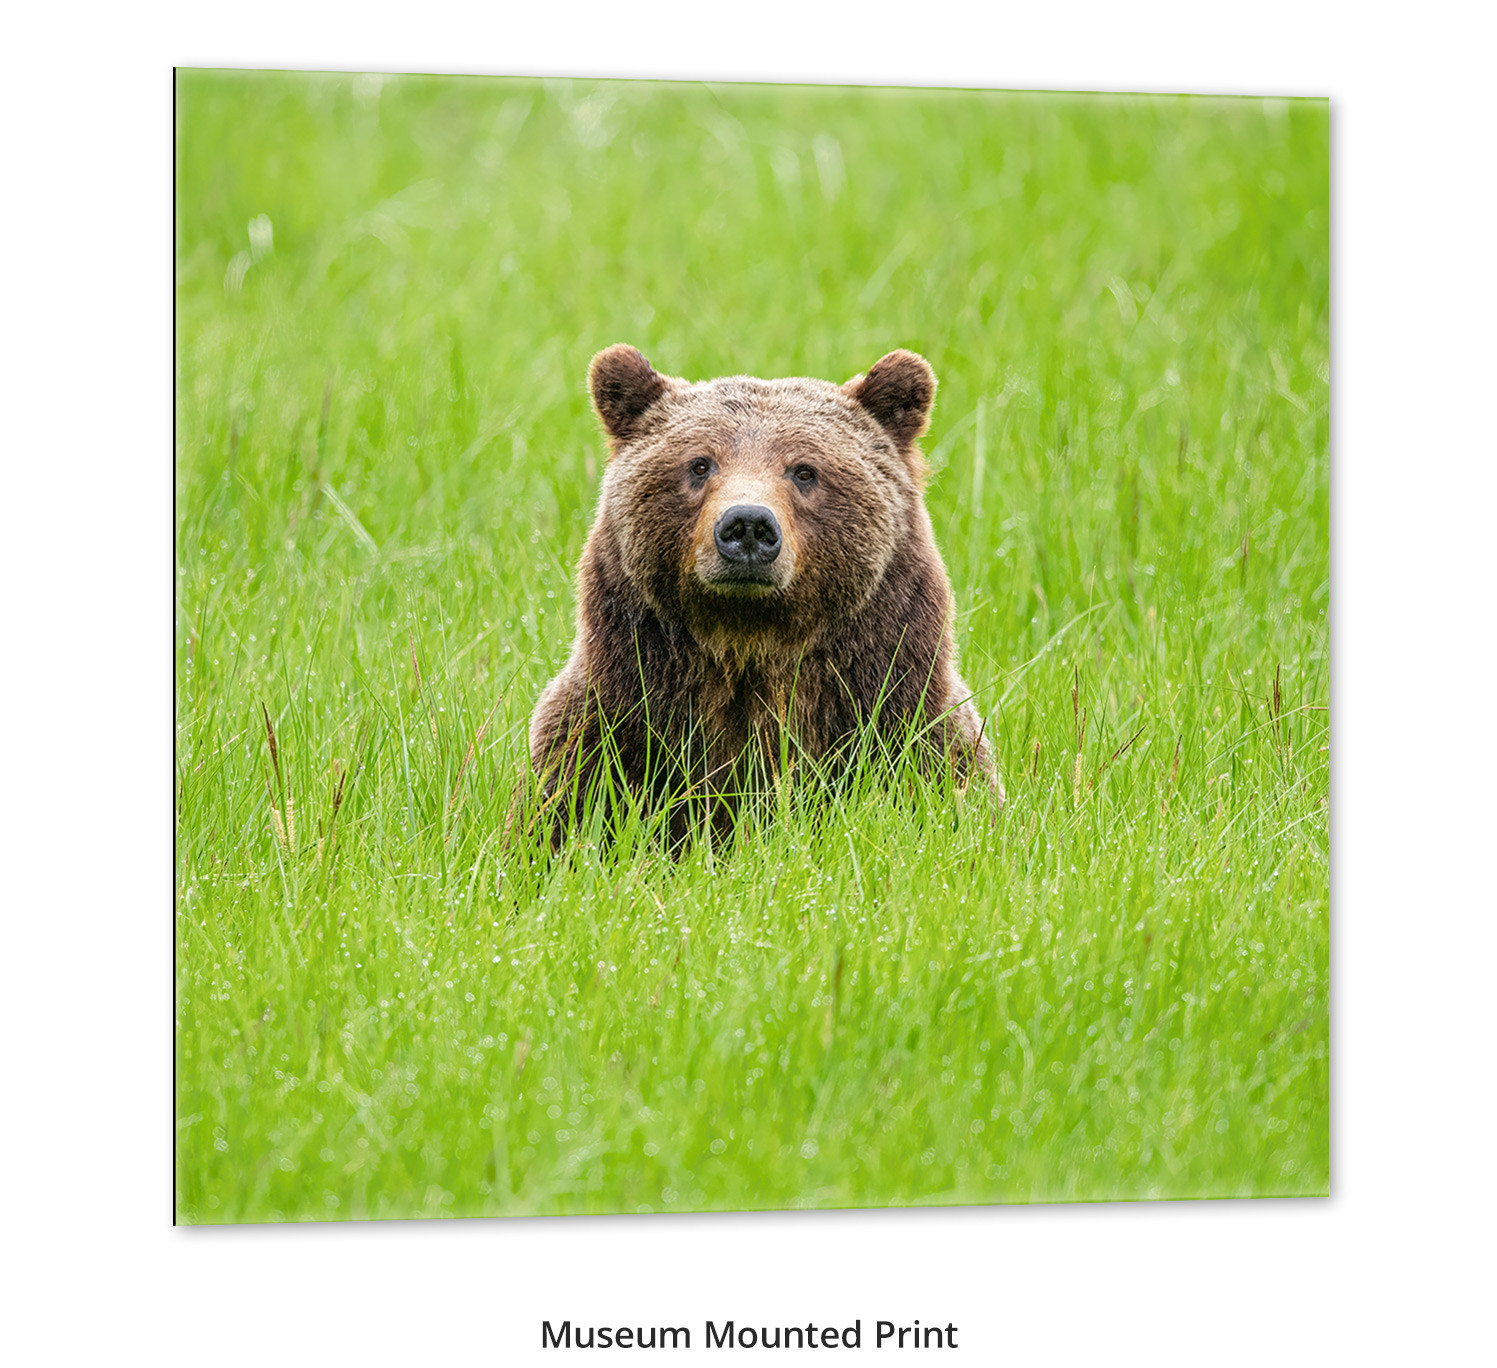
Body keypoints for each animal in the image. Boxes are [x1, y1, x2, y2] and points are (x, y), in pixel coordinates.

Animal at [526, 344, 995, 846]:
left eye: (805, 470)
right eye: (699, 464)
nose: (748, 524)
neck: (751, 642)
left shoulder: (907, 725)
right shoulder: (611, 730)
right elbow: (561, 817)